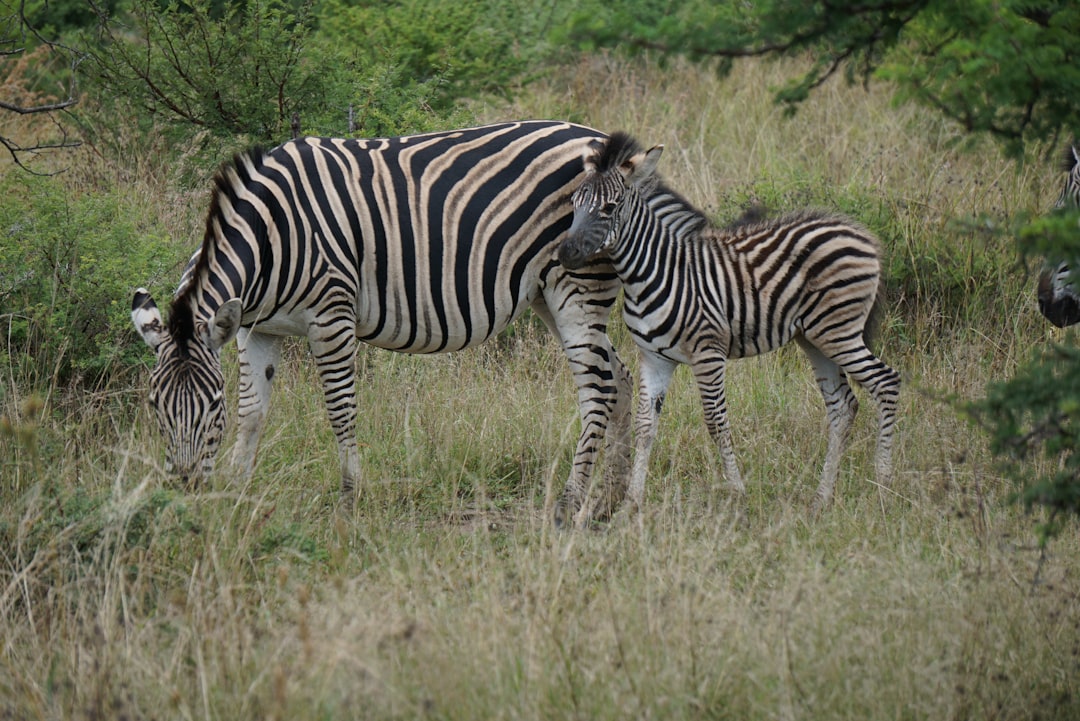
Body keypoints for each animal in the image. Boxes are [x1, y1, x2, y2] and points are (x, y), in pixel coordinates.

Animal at [131, 118, 630, 526]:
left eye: (213, 405)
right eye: (154, 405)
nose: (188, 493)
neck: (272, 235)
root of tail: (600, 140)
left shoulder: (331, 315)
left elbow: (340, 408)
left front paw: (349, 500)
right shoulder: (257, 328)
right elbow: (253, 411)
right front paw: (237, 493)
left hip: (576, 285)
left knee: (598, 388)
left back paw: (569, 504)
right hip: (548, 294)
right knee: (619, 377)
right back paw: (610, 504)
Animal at [557, 132, 902, 509]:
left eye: (609, 207)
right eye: (574, 204)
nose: (564, 253)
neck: (653, 271)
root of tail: (861, 234)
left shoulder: (708, 352)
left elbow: (715, 421)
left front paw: (737, 491)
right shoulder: (654, 357)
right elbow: (646, 426)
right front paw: (633, 501)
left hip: (840, 331)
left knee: (886, 382)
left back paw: (883, 482)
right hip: (815, 338)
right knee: (842, 405)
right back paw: (822, 497)